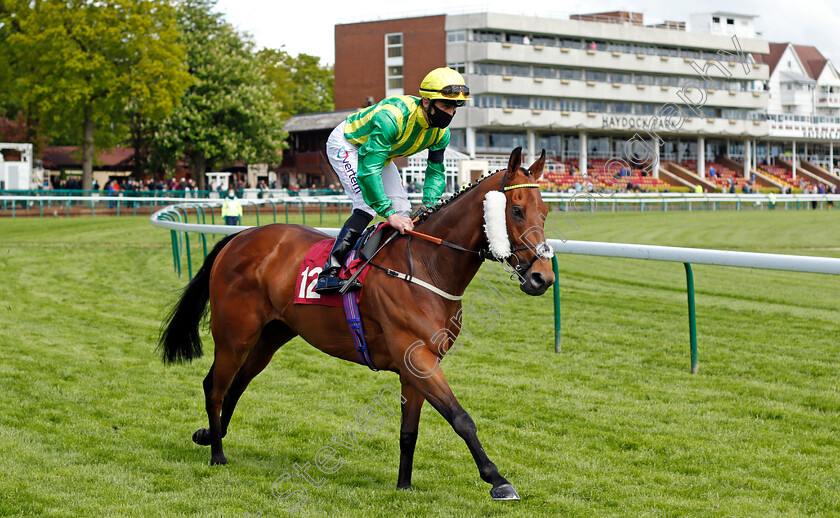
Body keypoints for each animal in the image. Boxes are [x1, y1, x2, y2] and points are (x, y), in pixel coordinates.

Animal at [158, 147, 556, 504]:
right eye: (516, 210)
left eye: (546, 211)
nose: (543, 277)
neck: (428, 264)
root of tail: (239, 237)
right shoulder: (419, 358)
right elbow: (461, 418)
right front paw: (498, 480)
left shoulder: (416, 364)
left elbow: (409, 431)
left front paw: (404, 485)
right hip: (234, 335)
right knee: (215, 386)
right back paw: (217, 453)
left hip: (271, 336)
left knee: (237, 384)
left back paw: (209, 434)